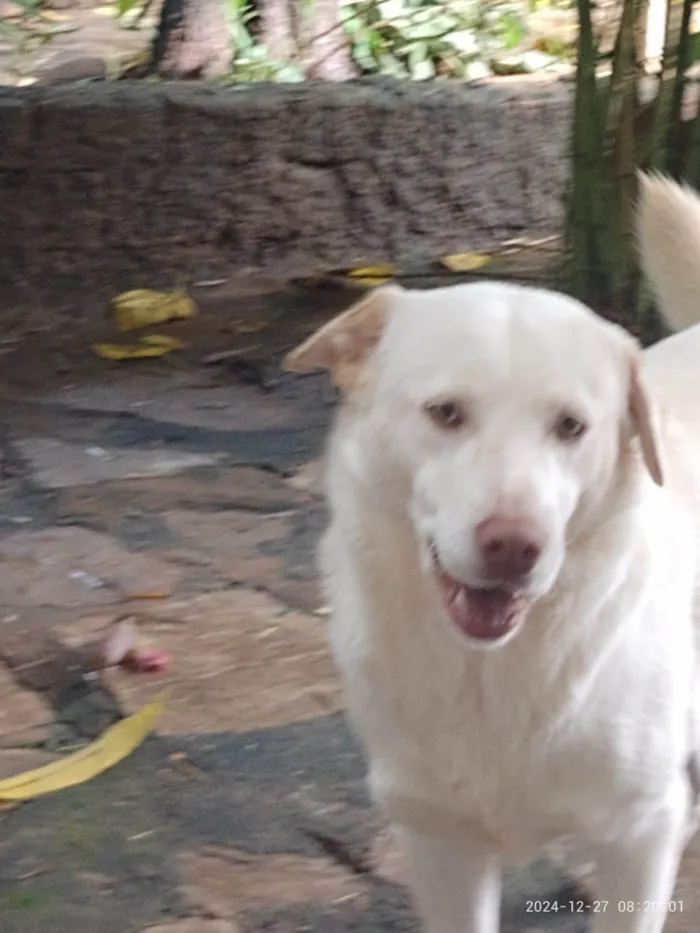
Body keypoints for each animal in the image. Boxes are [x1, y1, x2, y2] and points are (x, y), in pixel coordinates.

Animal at [284, 177, 700, 932]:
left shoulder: (640, 832)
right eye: (446, 412)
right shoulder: (438, 841)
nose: (514, 547)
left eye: (571, 426)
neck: (492, 675)